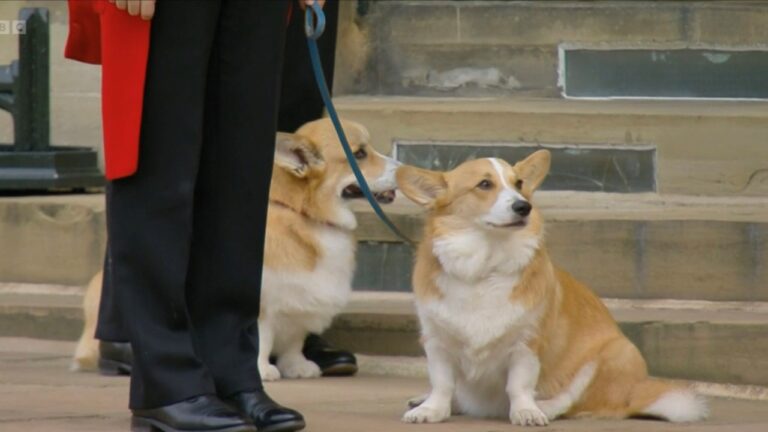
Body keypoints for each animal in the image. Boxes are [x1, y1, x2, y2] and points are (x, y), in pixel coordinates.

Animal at [73, 119, 402, 382]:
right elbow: (261, 336)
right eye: (359, 154)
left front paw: (297, 366)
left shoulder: (298, 302)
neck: (302, 213)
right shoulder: (262, 301)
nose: (402, 170)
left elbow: (294, 340)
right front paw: (261, 370)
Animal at [396, 151, 708, 426]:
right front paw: (432, 409)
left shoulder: (527, 343)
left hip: (613, 353)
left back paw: (543, 406)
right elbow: (442, 384)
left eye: (519, 183)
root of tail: (636, 392)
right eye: (484, 184)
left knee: (572, 401)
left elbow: (519, 385)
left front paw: (525, 411)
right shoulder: (437, 341)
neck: (485, 267)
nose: (524, 207)